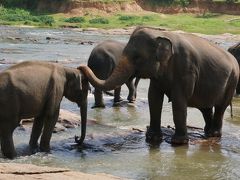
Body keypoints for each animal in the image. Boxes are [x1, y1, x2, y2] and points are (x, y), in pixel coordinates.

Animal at [79, 26, 240, 145]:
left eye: (137, 57)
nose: (80, 67)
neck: (161, 34)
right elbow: (153, 97)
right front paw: (152, 138)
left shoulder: (186, 68)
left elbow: (179, 100)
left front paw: (178, 142)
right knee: (205, 107)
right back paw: (207, 132)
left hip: (233, 80)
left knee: (220, 106)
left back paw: (214, 134)